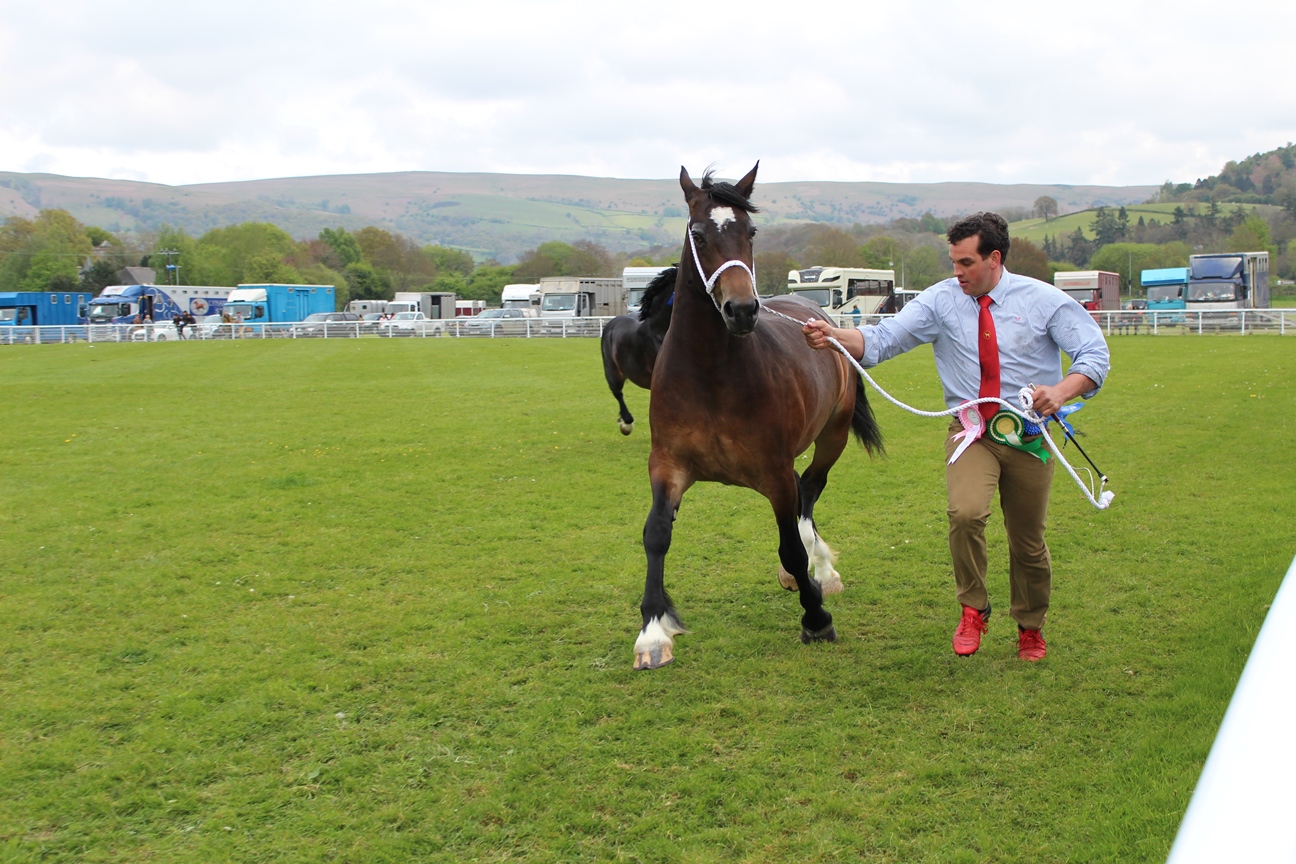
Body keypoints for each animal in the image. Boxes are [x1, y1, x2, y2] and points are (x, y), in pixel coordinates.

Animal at [635, 165, 886, 673]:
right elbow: (656, 535)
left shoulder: (773, 473)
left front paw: (816, 617)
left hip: (832, 437)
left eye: (750, 232)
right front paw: (653, 632)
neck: (710, 374)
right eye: (698, 233)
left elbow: (789, 542)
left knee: (809, 490)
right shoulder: (668, 466)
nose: (742, 310)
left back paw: (819, 570)